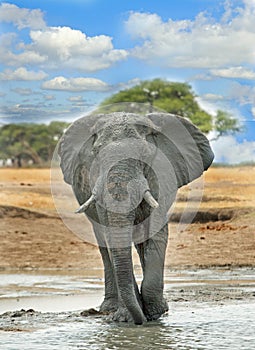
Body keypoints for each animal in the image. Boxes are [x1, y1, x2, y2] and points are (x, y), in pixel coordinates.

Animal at [58, 111, 213, 326]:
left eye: (145, 156)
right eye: (96, 154)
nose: (141, 321)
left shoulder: (159, 178)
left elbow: (155, 233)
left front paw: (156, 312)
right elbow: (112, 240)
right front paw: (126, 318)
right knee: (104, 246)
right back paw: (109, 308)